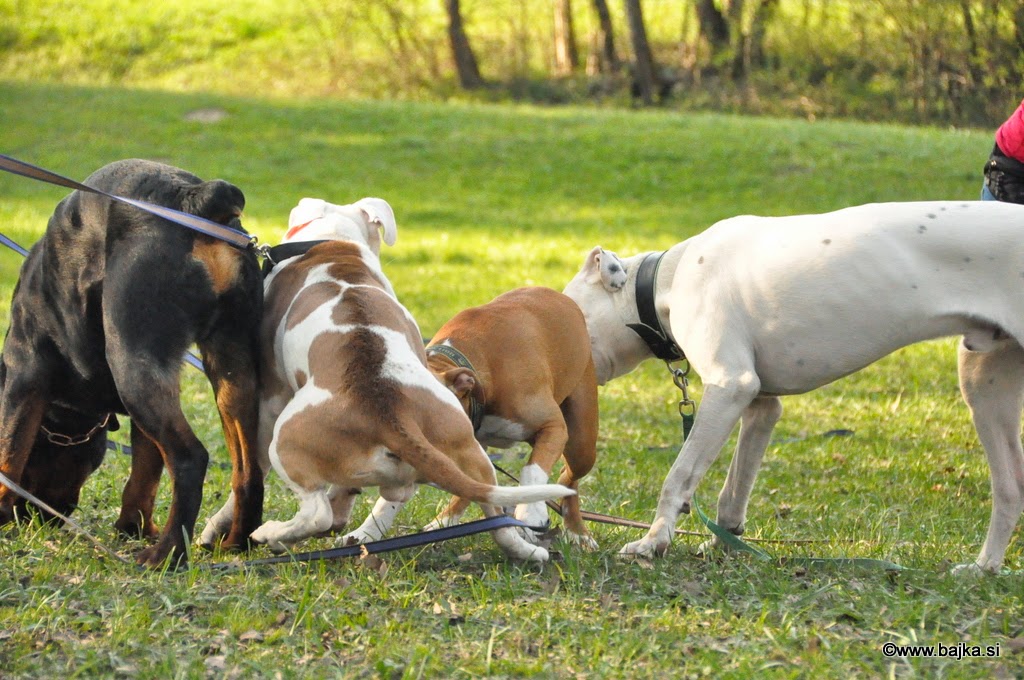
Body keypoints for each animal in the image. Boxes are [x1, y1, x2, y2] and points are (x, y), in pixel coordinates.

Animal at [0, 159, 264, 568]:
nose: (41, 517)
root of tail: (194, 198)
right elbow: (144, 475)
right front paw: (133, 526)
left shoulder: (22, 376)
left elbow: (9, 454)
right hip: (230, 366)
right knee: (248, 469)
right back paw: (236, 542)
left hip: (131, 362)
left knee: (190, 458)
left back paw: (167, 553)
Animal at [206, 197, 574, 561]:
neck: (333, 243)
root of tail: (392, 416)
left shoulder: (271, 400)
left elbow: (254, 468)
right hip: (470, 451)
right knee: (493, 512)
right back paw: (526, 550)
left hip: (286, 441)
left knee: (315, 511)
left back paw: (272, 534)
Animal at [422, 287, 600, 548]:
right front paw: (445, 521)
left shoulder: (553, 427)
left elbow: (532, 470)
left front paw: (530, 514)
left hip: (581, 446)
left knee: (568, 479)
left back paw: (577, 531)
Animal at [564, 200, 1024, 573]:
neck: (667, 280)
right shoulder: (760, 407)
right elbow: (733, 490)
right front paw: (724, 541)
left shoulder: (730, 386)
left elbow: (679, 475)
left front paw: (653, 541)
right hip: (984, 386)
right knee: (1010, 488)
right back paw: (984, 568)